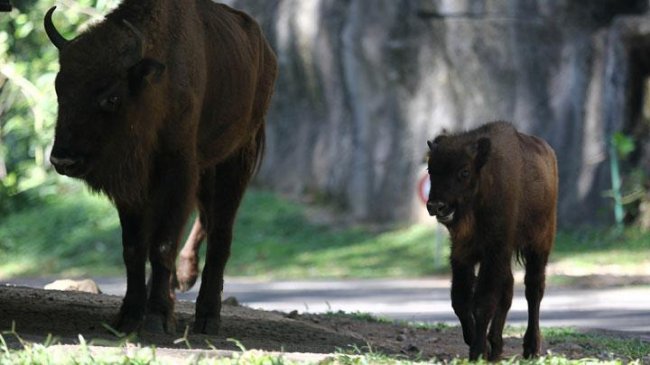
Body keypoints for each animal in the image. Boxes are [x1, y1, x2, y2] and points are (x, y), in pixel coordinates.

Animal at [44, 0, 278, 334]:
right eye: (59, 88)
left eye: (111, 97)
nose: (63, 159)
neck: (154, 84)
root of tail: (266, 51)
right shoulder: (133, 185)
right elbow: (134, 247)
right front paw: (129, 316)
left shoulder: (177, 170)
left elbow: (163, 244)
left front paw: (155, 318)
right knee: (204, 220)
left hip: (236, 157)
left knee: (220, 232)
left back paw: (207, 317)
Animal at [426, 121, 556, 358]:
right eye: (431, 170)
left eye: (464, 171)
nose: (436, 206)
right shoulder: (461, 253)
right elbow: (460, 300)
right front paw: (483, 346)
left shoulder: (494, 252)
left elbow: (483, 302)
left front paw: (478, 352)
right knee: (509, 289)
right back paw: (496, 345)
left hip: (540, 244)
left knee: (534, 289)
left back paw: (531, 348)